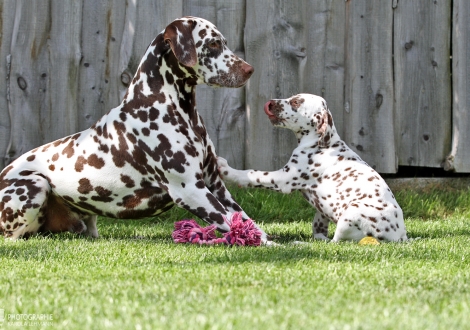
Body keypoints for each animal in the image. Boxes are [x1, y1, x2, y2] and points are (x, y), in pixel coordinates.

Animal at [0, 16, 268, 242]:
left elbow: (245, 221)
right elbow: (228, 221)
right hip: (36, 185)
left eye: (224, 42)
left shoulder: (215, 184)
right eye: (213, 43)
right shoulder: (190, 189)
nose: (250, 70)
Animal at [219, 94, 408, 244]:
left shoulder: (283, 179)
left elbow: (252, 174)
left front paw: (226, 170)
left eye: (296, 102)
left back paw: (299, 244)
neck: (321, 143)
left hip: (352, 212)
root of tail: (401, 236)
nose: (270, 103)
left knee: (335, 243)